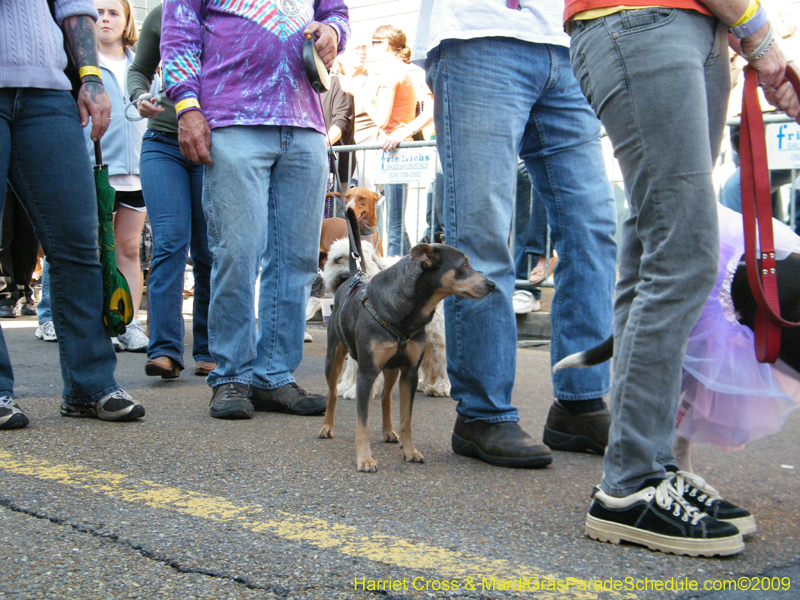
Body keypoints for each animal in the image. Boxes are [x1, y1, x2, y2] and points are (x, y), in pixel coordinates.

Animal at [322, 237, 454, 400]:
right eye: (338, 259)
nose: (344, 276)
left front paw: (354, 390)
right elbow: (353, 365)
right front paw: (346, 385)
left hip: (436, 335)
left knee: (440, 360)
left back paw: (440, 387)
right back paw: (425, 383)